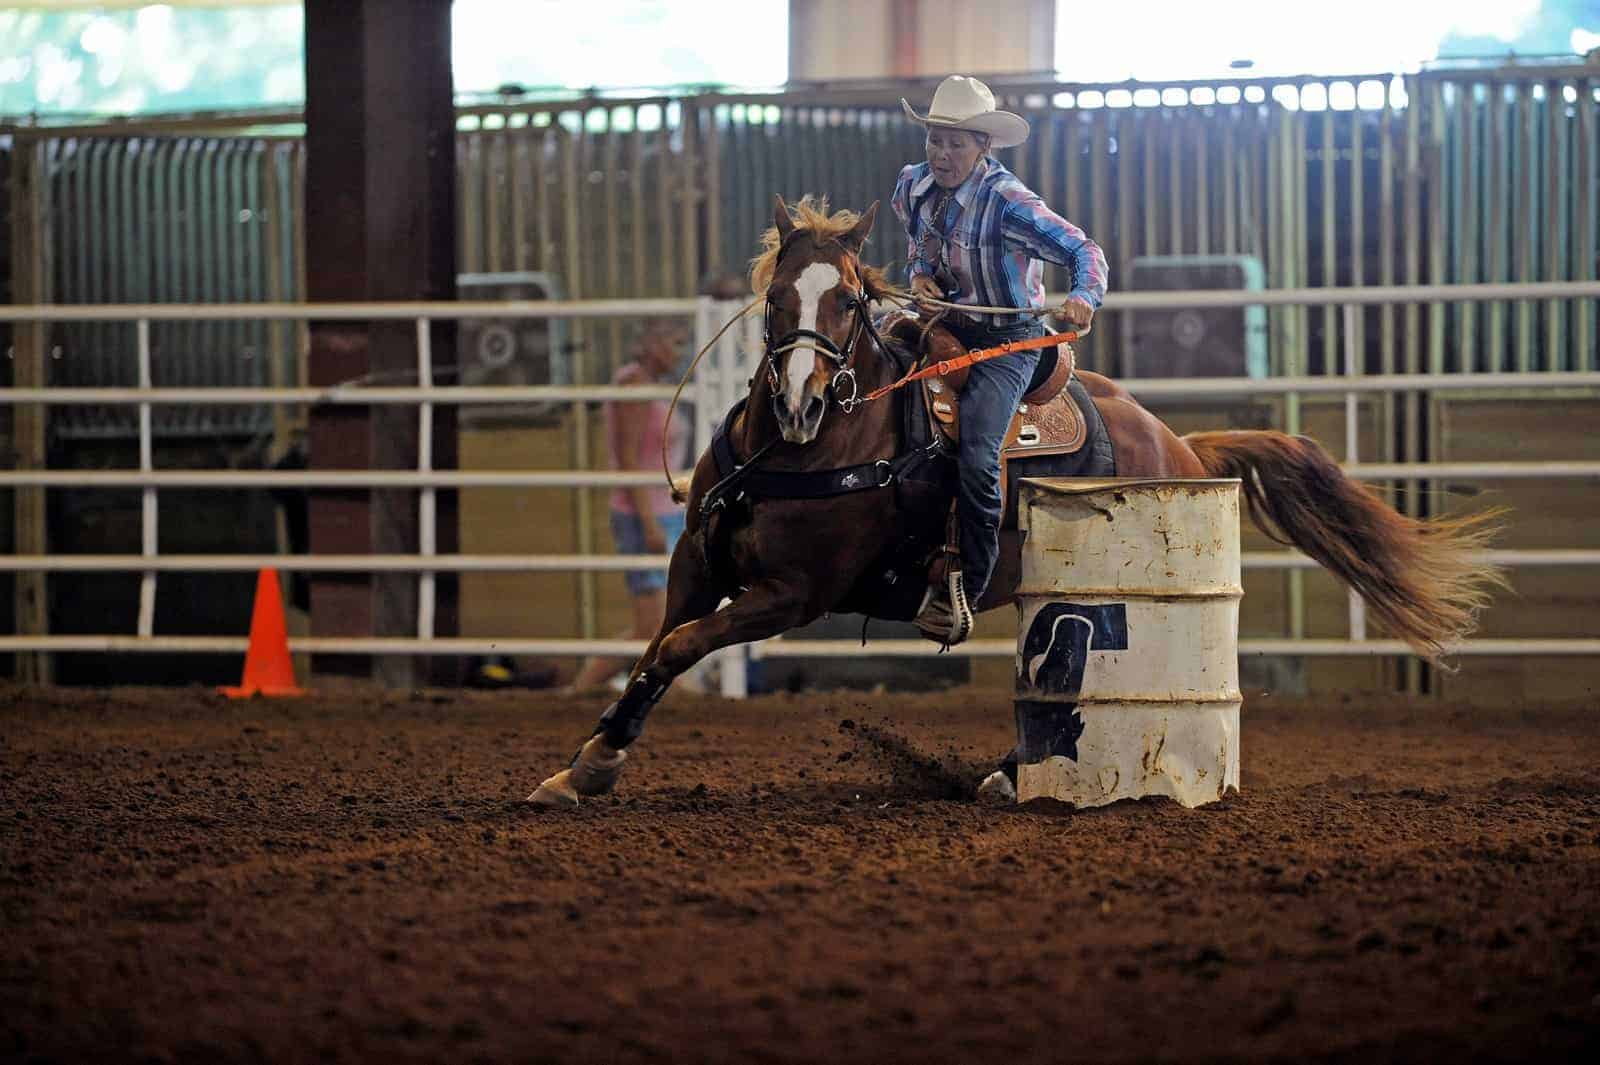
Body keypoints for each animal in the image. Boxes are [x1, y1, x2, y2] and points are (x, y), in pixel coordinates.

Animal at [527, 195, 1503, 807]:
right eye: (775, 295)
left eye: (848, 298)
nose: (802, 400)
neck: (807, 448)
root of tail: (1182, 446)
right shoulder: (693, 564)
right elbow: (657, 649)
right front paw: (586, 762)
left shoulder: (789, 596)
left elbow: (680, 646)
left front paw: (595, 765)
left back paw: (1010, 776)